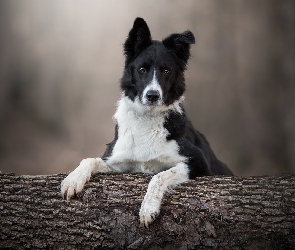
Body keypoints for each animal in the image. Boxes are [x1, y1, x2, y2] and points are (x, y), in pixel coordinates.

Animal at [61, 17, 234, 228]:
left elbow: (158, 176)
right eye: (142, 69)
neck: (147, 117)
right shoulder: (119, 159)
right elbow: (90, 159)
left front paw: (148, 208)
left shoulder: (198, 161)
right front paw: (73, 180)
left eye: (166, 71)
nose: (152, 95)